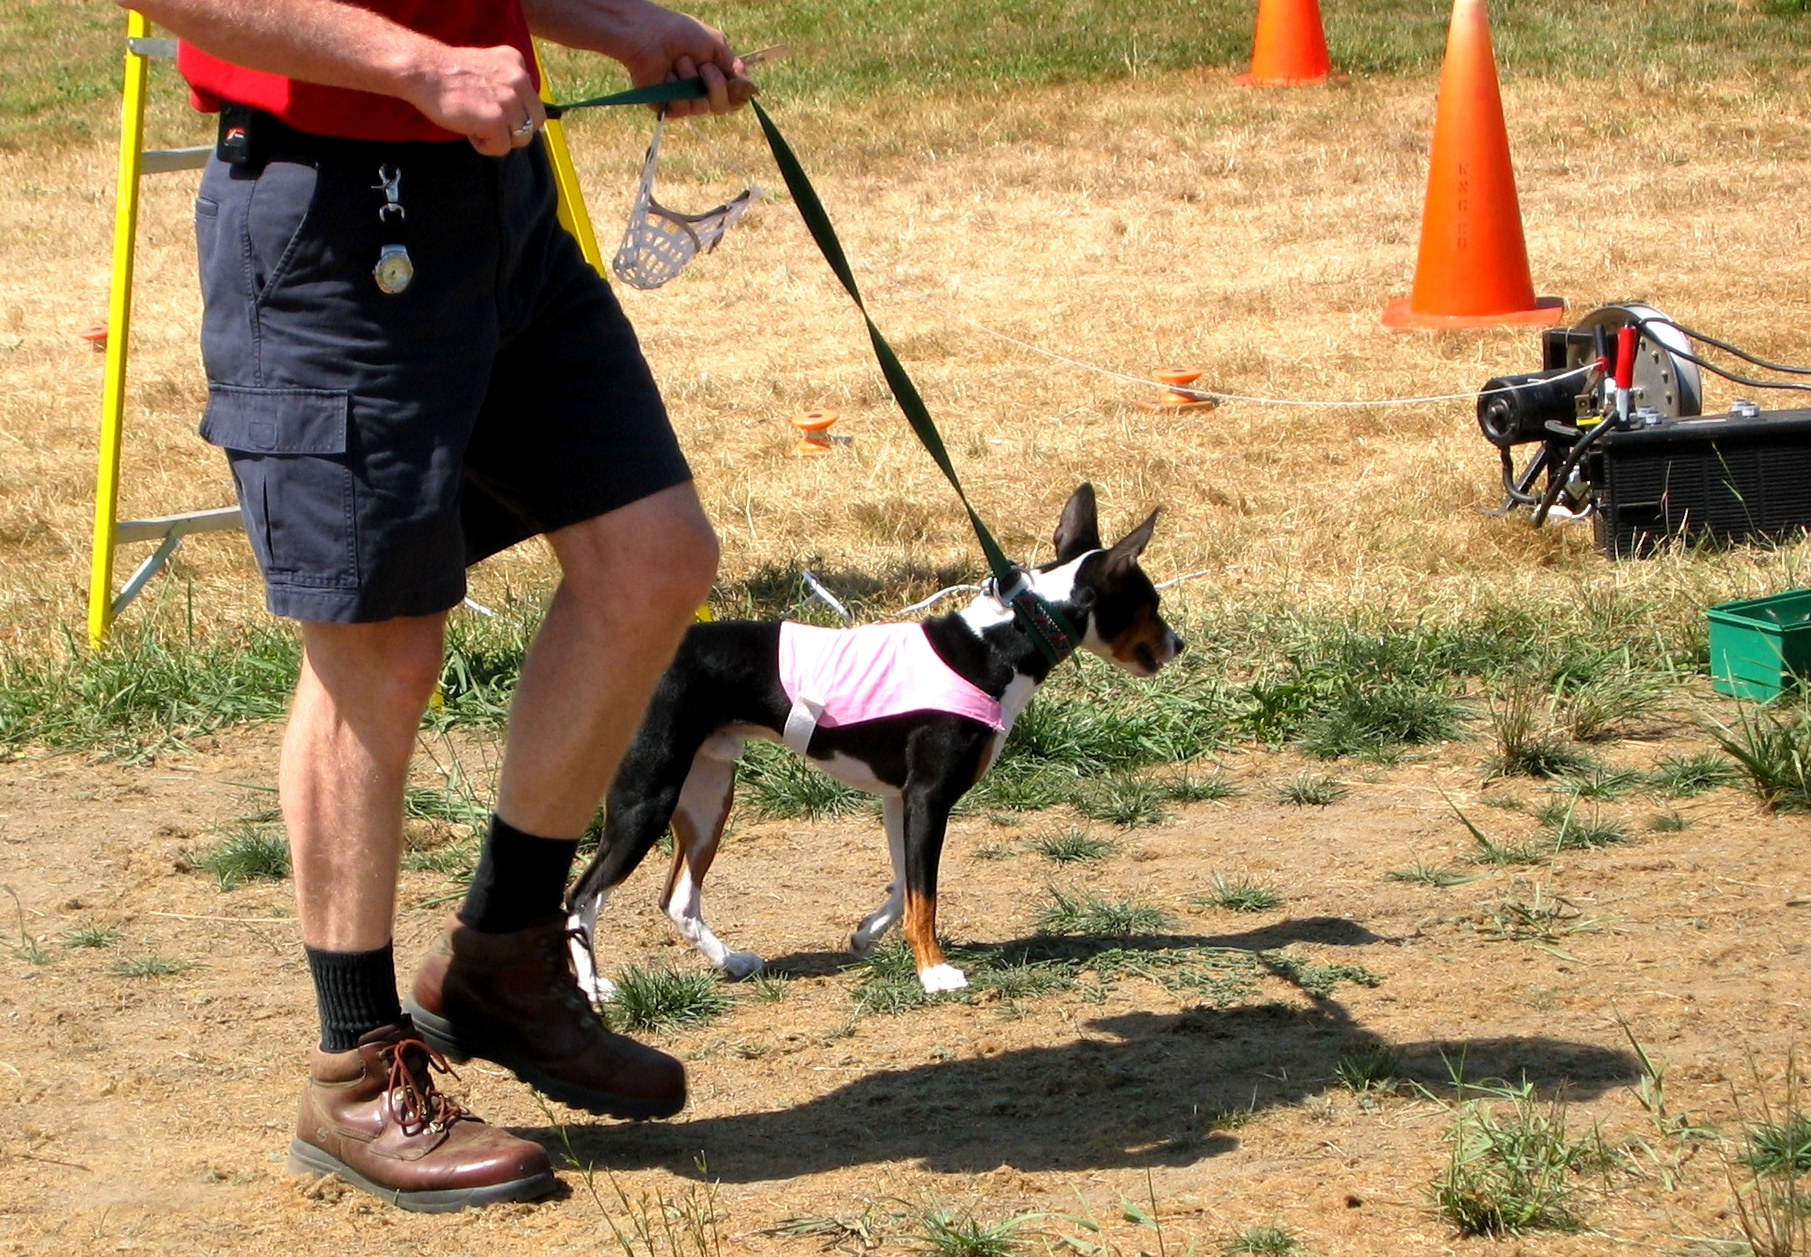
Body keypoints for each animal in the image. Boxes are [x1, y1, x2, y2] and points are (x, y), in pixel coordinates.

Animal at [566, 483, 1184, 998]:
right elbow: (925, 896)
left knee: (677, 899)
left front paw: (868, 934)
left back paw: (733, 961)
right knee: (580, 898)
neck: (998, 643)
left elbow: (905, 883)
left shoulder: (899, 798)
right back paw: (594, 988)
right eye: (1151, 605)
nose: (1178, 643)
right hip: (647, 798)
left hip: (707, 795)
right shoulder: (929, 796)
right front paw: (934, 972)